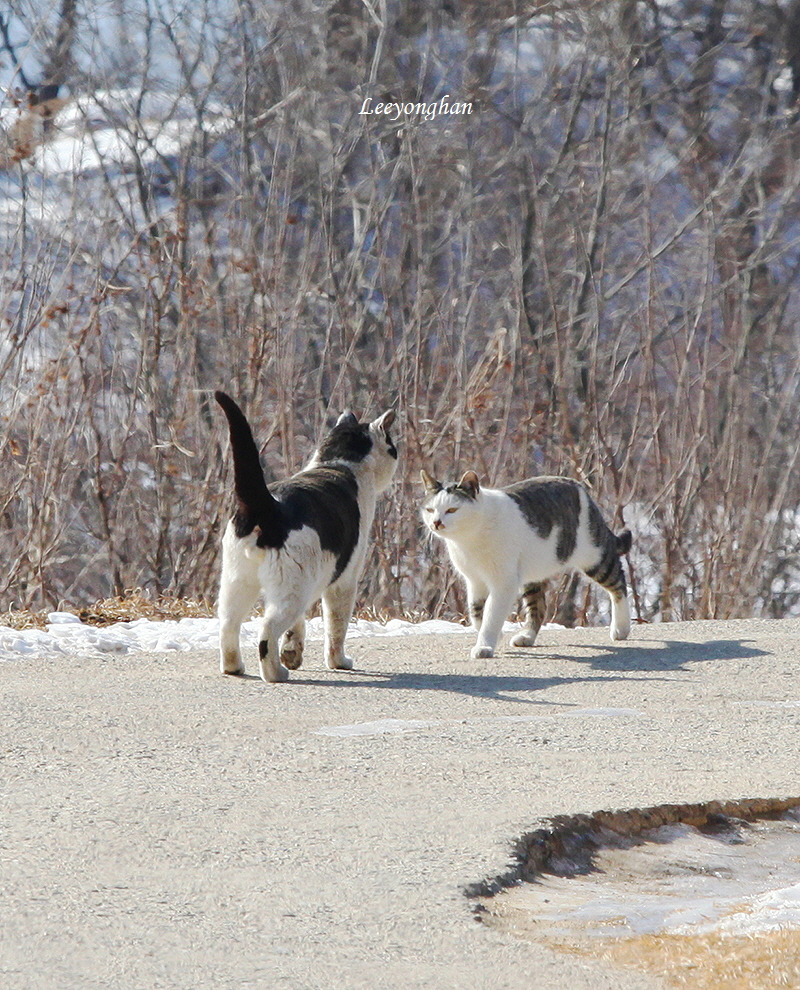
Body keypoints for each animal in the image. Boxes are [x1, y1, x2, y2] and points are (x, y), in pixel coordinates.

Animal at [216, 392, 396, 684]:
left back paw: (235, 667)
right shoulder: (344, 580)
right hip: (295, 588)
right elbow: (336, 627)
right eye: (392, 447)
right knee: (267, 632)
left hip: (237, 581)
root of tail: (268, 505)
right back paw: (276, 673)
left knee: (228, 625)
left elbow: (297, 626)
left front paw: (293, 652)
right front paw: (338, 662)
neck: (337, 463)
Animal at [418, 470, 632, 660]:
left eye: (452, 510)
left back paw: (621, 628)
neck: (467, 540)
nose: (436, 522)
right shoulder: (475, 580)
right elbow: (477, 611)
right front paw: (494, 636)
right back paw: (527, 636)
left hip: (594, 557)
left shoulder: (503, 582)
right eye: (430, 510)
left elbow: (491, 615)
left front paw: (484, 646)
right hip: (533, 573)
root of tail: (578, 484)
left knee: (619, 582)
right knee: (539, 606)